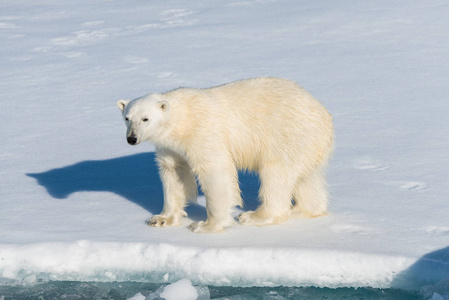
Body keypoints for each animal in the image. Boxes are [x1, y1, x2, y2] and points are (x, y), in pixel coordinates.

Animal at [115, 77, 332, 232]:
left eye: (146, 118)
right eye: (127, 118)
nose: (132, 138)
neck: (181, 120)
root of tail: (324, 114)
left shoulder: (202, 132)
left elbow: (215, 171)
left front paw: (205, 225)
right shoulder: (170, 147)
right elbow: (174, 173)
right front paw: (161, 219)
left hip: (286, 136)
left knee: (276, 174)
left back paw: (253, 216)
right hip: (307, 146)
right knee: (306, 178)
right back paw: (303, 210)